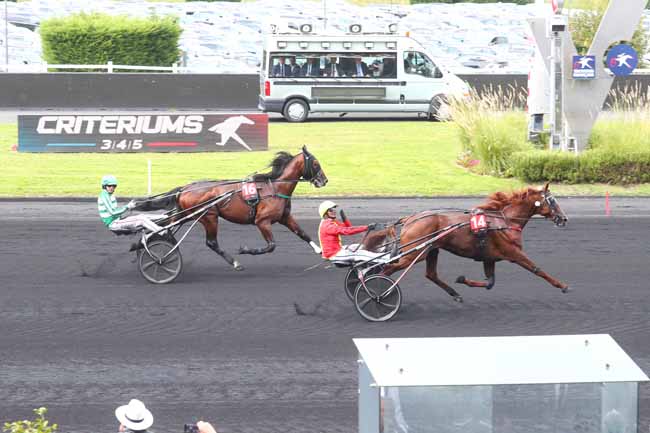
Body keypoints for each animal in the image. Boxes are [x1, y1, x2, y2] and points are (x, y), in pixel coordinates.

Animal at [139, 147, 326, 272]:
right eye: (316, 163)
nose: (324, 180)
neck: (274, 188)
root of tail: (184, 189)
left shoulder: (284, 217)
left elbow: (302, 233)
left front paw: (321, 251)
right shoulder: (262, 221)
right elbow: (271, 245)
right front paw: (245, 250)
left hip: (187, 214)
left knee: (166, 230)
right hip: (209, 217)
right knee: (211, 242)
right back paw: (235, 263)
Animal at [364, 182, 568, 300]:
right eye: (552, 200)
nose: (564, 219)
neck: (504, 221)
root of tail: (410, 219)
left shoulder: (489, 257)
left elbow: (490, 283)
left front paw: (462, 280)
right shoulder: (513, 253)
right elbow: (537, 270)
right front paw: (563, 285)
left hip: (431, 249)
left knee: (430, 274)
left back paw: (455, 294)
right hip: (415, 253)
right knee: (386, 269)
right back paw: (377, 293)